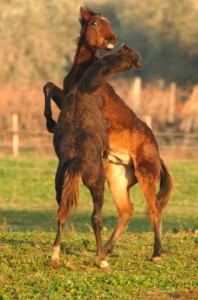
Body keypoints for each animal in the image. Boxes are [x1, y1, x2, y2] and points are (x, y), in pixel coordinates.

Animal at [43, 5, 173, 262]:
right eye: (95, 23)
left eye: (109, 22)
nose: (112, 40)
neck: (86, 76)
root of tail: (157, 153)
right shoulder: (65, 96)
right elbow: (49, 86)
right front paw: (50, 122)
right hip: (116, 177)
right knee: (126, 211)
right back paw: (107, 250)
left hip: (146, 176)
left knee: (154, 210)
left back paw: (156, 253)